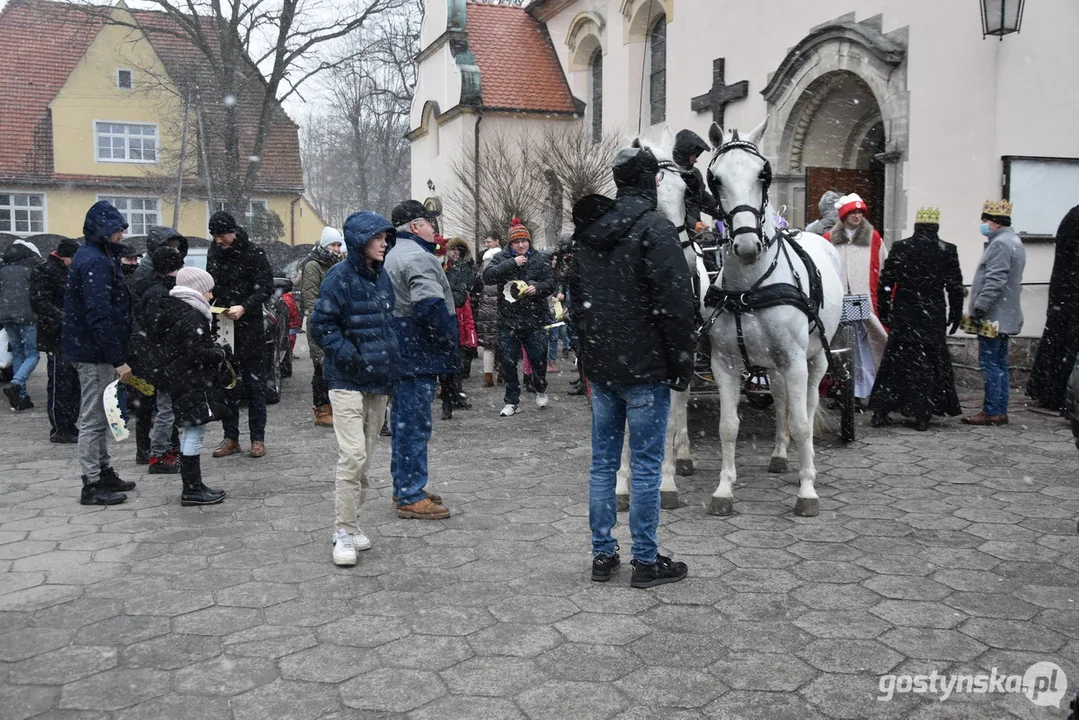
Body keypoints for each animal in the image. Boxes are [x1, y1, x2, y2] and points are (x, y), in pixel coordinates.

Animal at [703, 122, 845, 518]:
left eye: (763, 174)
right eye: (715, 179)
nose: (747, 246)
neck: (749, 288)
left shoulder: (795, 360)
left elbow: (801, 422)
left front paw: (807, 490)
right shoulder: (724, 363)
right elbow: (728, 426)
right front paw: (724, 489)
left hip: (815, 358)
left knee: (805, 407)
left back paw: (803, 464)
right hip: (773, 363)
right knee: (780, 397)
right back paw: (781, 454)